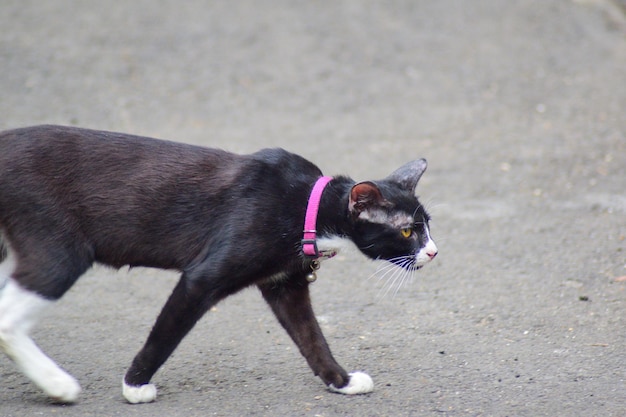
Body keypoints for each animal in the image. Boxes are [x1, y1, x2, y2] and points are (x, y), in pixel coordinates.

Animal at [0, 124, 436, 404]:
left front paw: (340, 382)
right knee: (8, 320)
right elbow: (165, 333)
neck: (306, 206)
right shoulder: (202, 278)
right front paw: (135, 386)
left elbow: (311, 338)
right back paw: (58, 385)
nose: (434, 252)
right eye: (406, 232)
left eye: (428, 225)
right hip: (60, 251)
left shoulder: (286, 285)